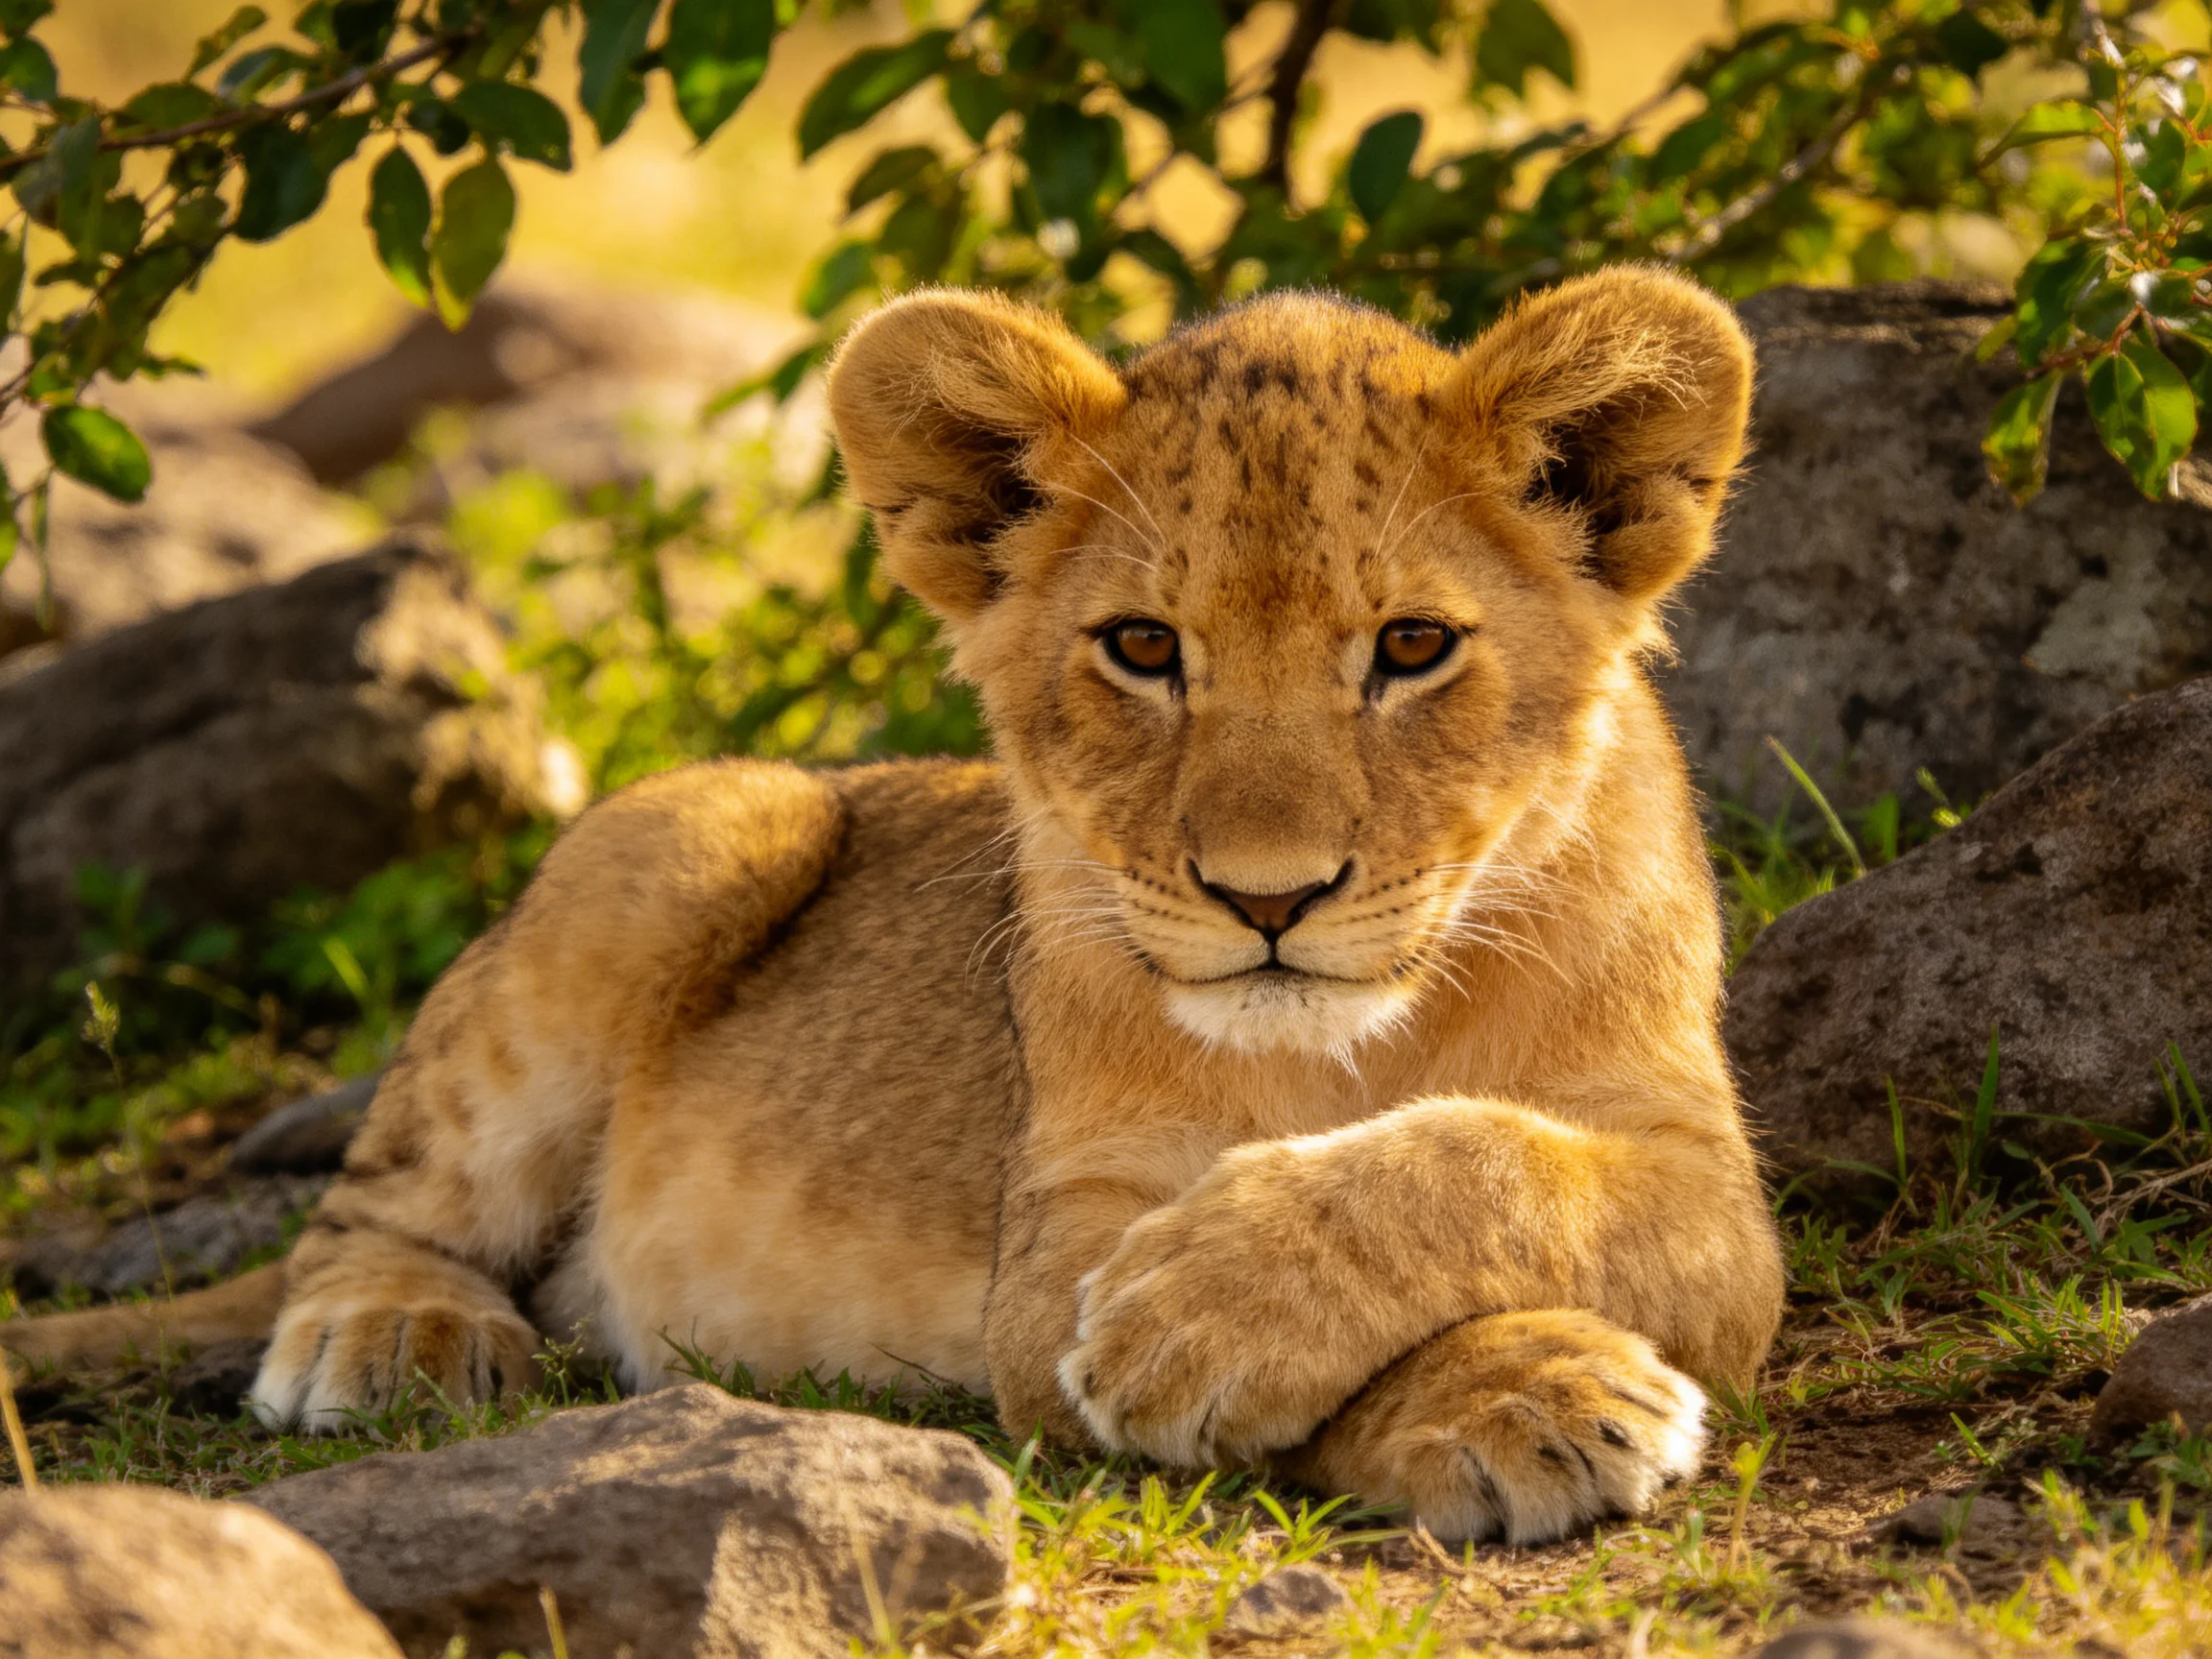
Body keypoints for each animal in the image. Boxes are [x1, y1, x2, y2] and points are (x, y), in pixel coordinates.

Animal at [5, 267, 1784, 1545]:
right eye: (1143, 648)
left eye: (1412, 647)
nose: (1264, 898)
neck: (1350, 1042)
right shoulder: (1052, 1244)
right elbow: (1193, 1337)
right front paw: (1472, 1380)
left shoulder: (1708, 1185)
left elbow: (1489, 1158)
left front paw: (1307, 1323)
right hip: (700, 827)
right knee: (367, 1209)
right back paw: (387, 1338)